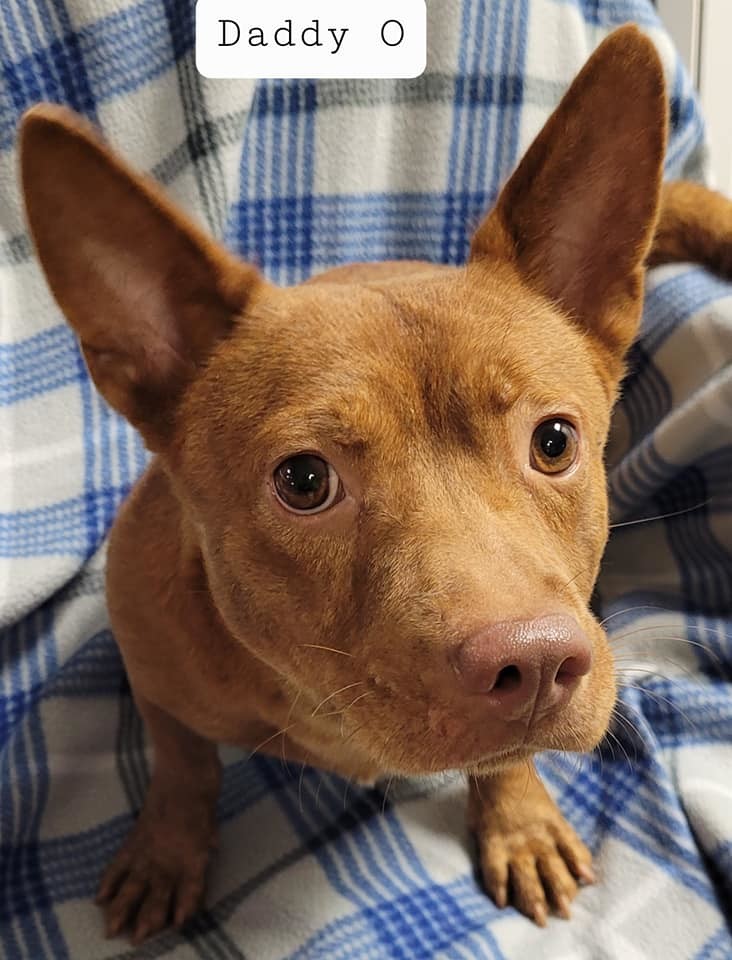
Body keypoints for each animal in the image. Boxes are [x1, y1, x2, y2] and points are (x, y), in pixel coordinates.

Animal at [17, 22, 732, 944]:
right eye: (304, 480)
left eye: (554, 442)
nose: (536, 664)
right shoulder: (153, 673)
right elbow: (182, 767)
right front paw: (167, 851)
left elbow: (508, 760)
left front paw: (520, 819)